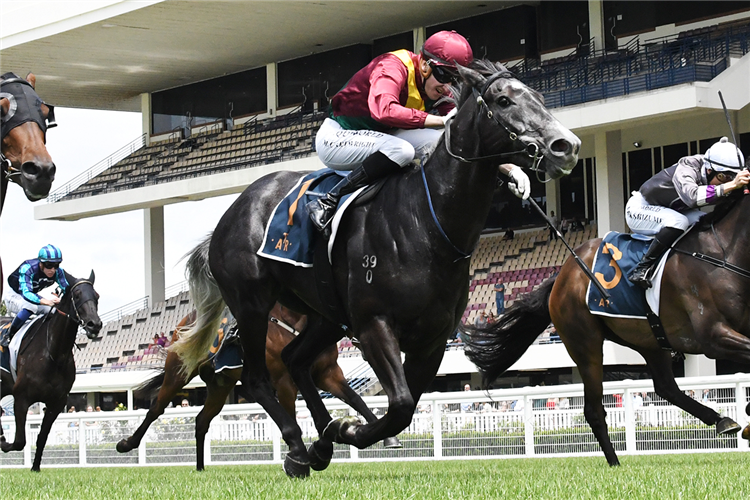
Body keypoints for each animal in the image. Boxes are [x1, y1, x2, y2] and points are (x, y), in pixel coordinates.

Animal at [0, 272, 101, 470]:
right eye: (77, 294)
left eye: (97, 296)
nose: (95, 324)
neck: (53, 354)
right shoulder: (21, 398)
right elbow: (19, 441)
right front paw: (4, 443)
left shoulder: (56, 402)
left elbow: (42, 438)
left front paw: (35, 468)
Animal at [116, 302, 400, 470]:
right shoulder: (285, 381)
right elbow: (293, 414)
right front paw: (304, 454)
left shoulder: (329, 375)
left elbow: (356, 400)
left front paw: (388, 437)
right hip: (178, 372)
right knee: (156, 408)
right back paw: (127, 443)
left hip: (220, 386)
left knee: (201, 420)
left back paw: (200, 467)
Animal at [172, 60, 580, 478]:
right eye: (503, 100)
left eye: (540, 96)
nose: (566, 146)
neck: (427, 222)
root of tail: (231, 212)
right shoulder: (374, 325)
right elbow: (399, 405)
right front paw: (348, 429)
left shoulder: (432, 340)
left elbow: (406, 407)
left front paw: (338, 432)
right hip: (252, 305)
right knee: (257, 380)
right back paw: (298, 449)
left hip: (324, 315)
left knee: (295, 360)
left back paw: (320, 441)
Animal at [462, 193, 750, 466]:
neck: (720, 255)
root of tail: (561, 275)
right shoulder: (713, 336)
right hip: (586, 344)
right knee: (594, 409)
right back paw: (614, 462)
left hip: (649, 339)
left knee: (666, 388)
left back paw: (722, 420)